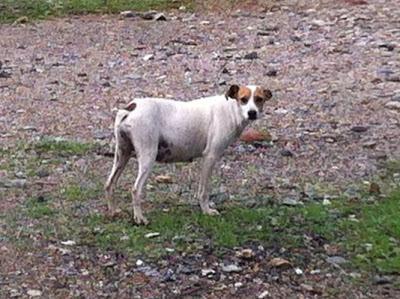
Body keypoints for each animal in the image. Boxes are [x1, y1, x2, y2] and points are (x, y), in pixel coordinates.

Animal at [104, 84, 272, 225]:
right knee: (135, 189)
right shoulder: (209, 158)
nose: (252, 113)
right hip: (147, 158)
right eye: (243, 99)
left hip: (122, 156)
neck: (231, 109)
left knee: (110, 184)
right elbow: (204, 191)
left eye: (259, 99)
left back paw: (113, 212)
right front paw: (206, 210)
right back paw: (139, 218)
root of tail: (131, 107)